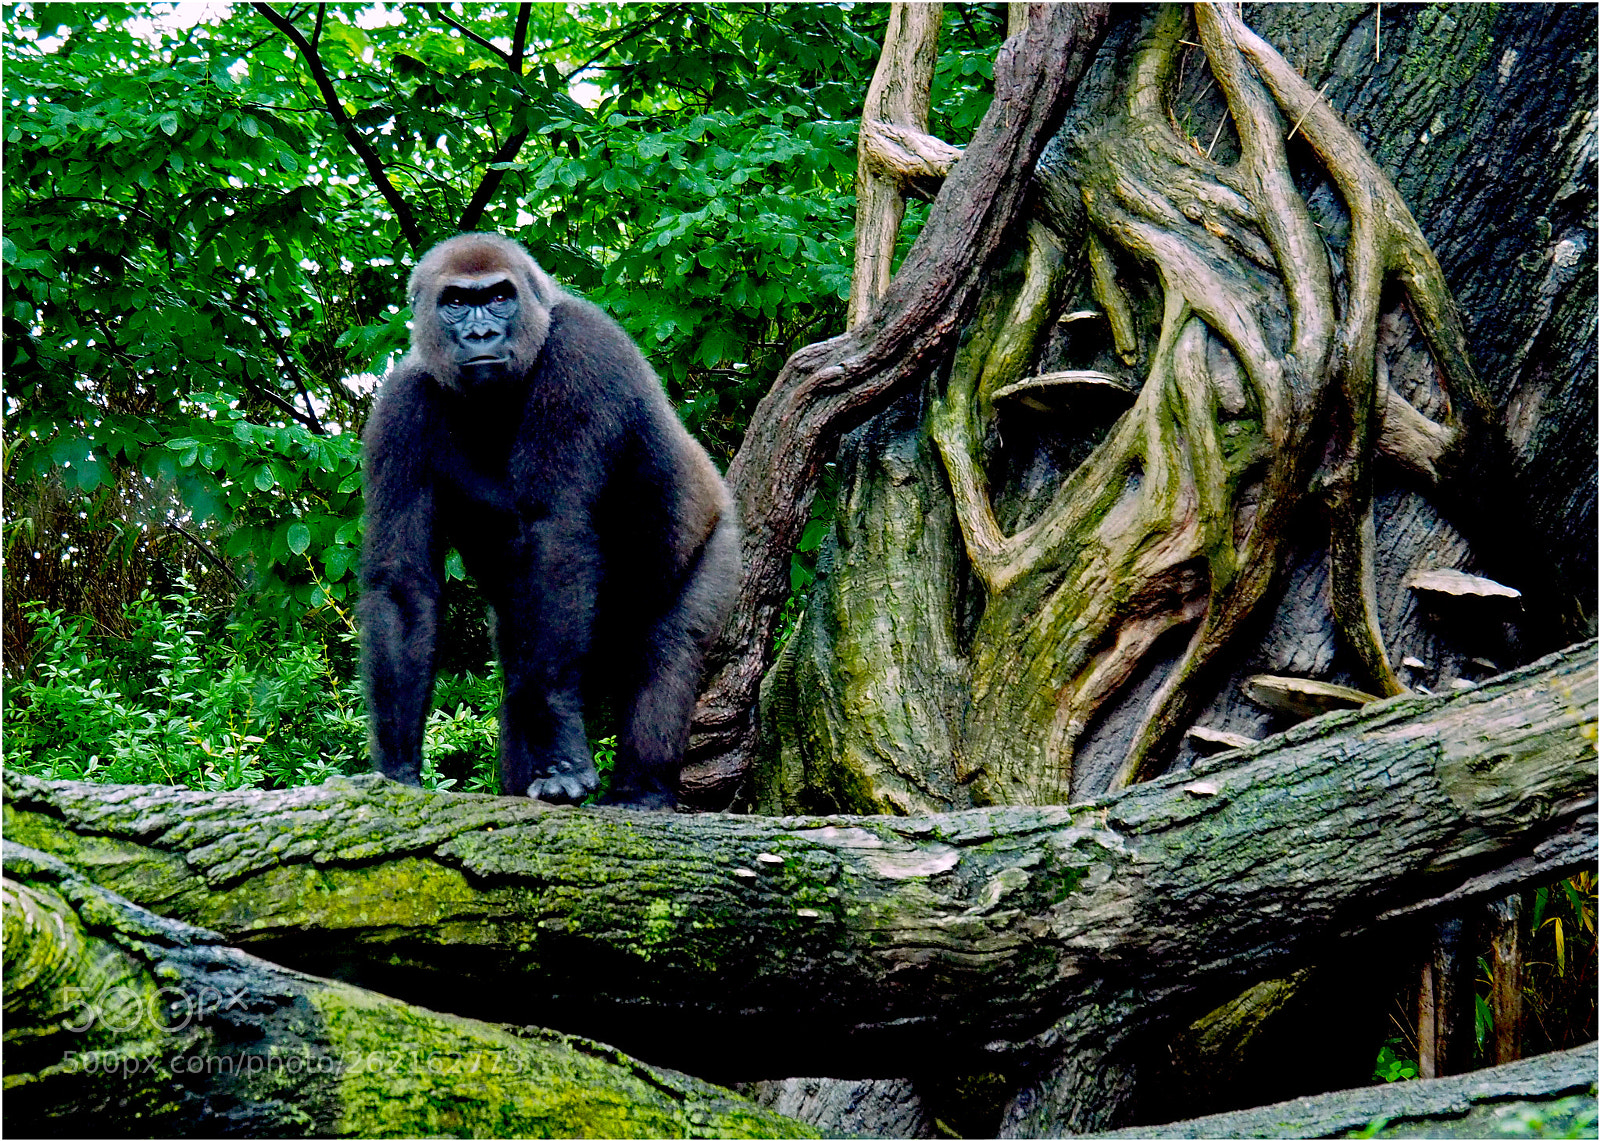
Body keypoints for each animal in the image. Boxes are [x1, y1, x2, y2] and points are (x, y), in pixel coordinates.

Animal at [359, 232, 738, 809]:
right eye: (455, 302)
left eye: (499, 297)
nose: (481, 333)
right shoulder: (401, 404)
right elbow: (403, 586)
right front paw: (399, 767)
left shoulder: (581, 351)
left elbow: (555, 532)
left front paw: (561, 754)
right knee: (523, 670)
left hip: (718, 541)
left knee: (667, 645)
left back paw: (642, 791)